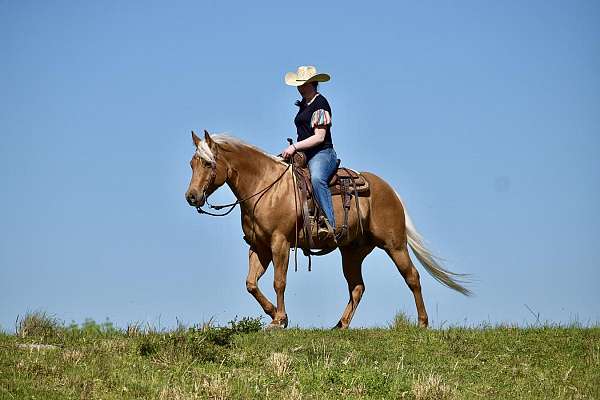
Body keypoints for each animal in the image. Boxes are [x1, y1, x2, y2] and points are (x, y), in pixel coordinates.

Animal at [185, 131, 472, 328]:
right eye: (192, 163)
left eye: (208, 163)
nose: (191, 196)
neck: (266, 187)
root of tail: (389, 190)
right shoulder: (260, 246)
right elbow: (250, 284)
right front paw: (274, 314)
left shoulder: (279, 242)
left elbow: (279, 281)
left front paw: (279, 320)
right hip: (352, 252)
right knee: (357, 287)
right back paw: (340, 325)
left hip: (395, 244)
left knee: (412, 277)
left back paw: (422, 323)